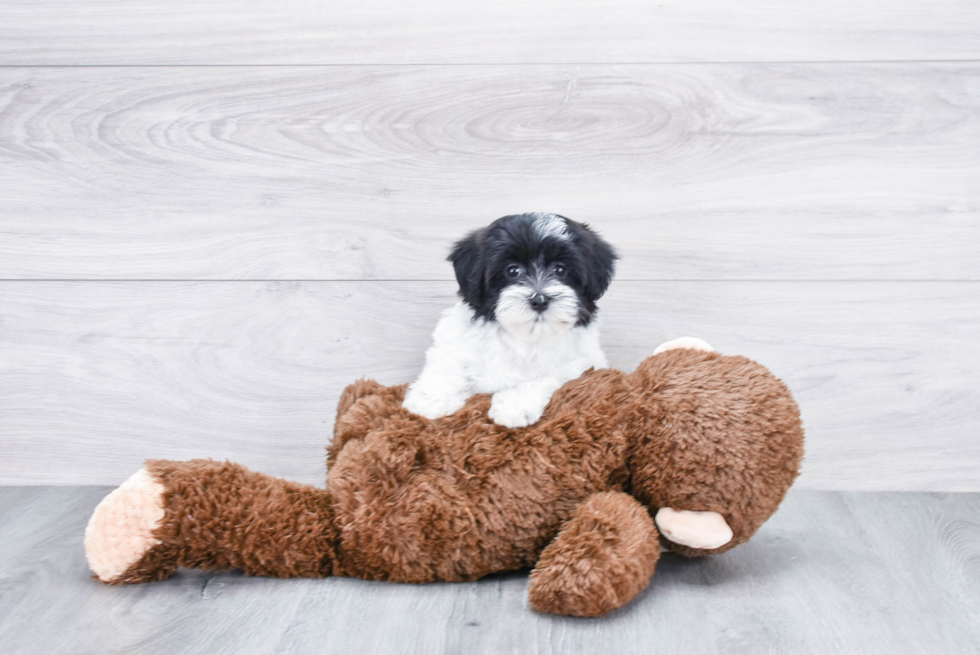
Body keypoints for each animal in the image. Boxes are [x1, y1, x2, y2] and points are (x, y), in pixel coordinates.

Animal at [400, 213, 616, 430]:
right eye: (513, 271)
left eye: (560, 270)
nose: (539, 300)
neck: (522, 336)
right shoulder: (456, 342)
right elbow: (448, 365)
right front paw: (429, 399)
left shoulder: (581, 362)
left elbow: (542, 377)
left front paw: (514, 407)